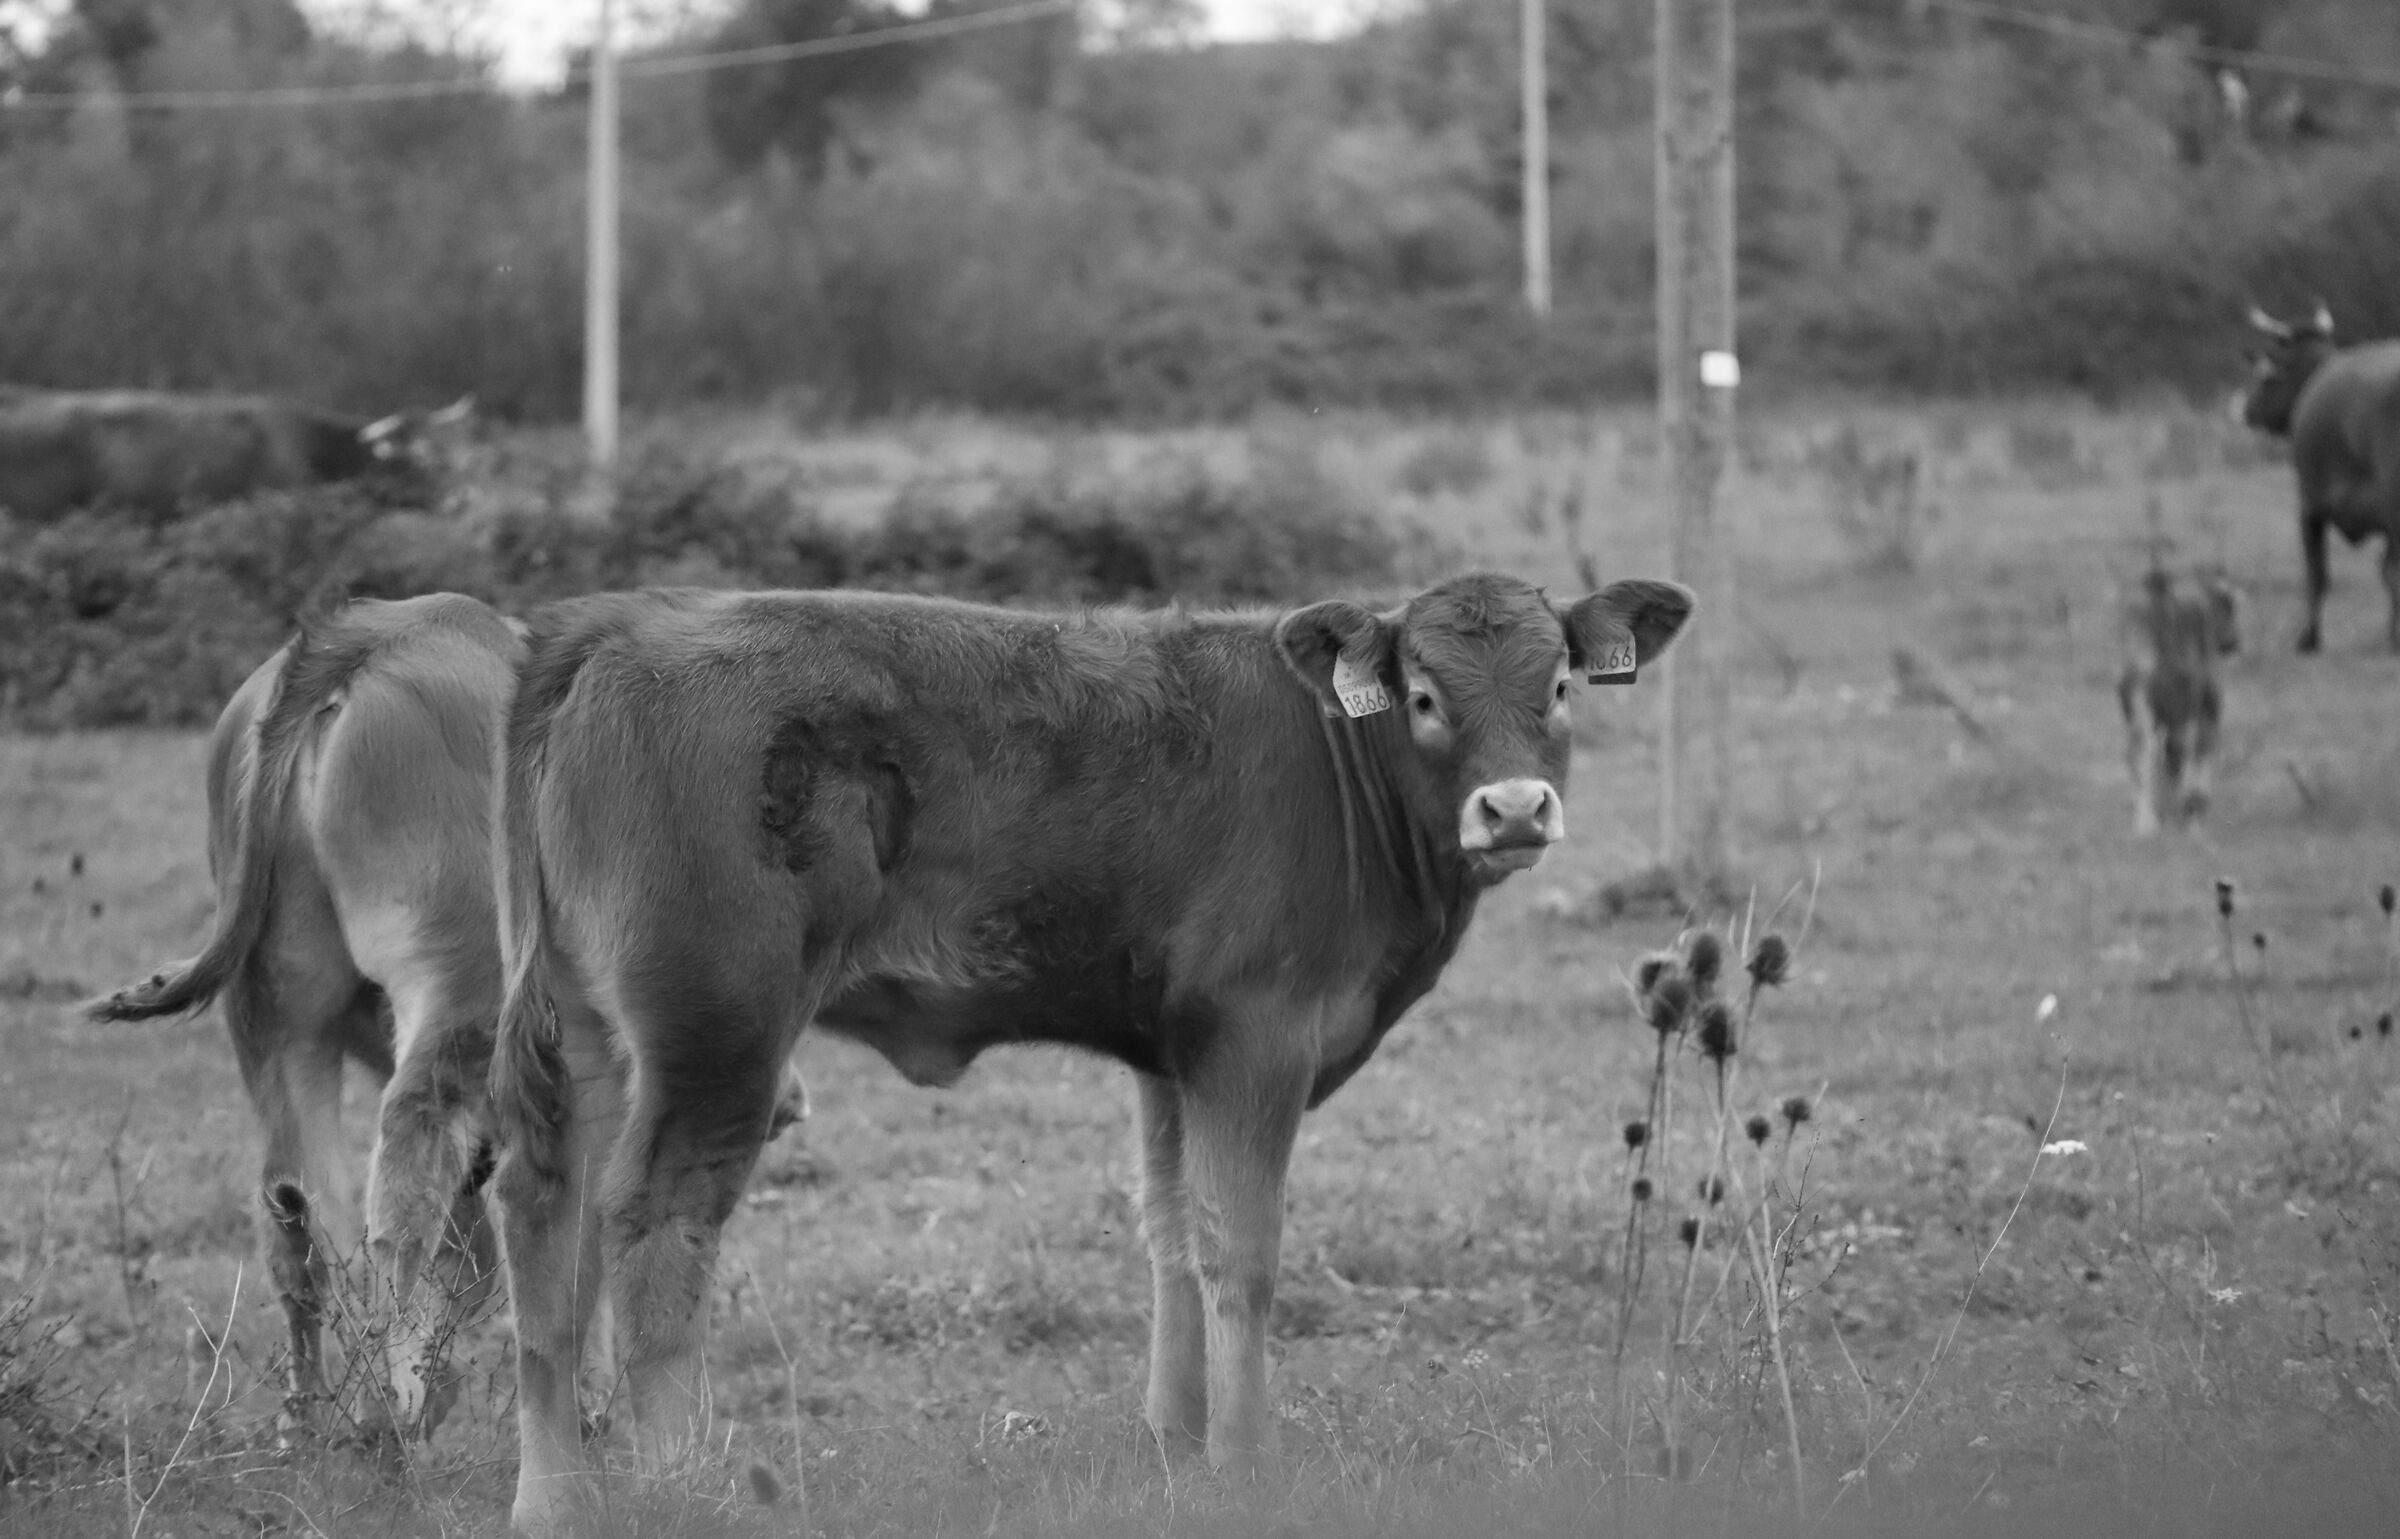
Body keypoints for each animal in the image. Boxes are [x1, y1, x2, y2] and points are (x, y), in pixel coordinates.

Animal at [84, 592, 809, 1443]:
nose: (790, 1098)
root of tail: (368, 633)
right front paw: (587, 1406)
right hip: (462, 991)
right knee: (401, 1178)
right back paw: (395, 1404)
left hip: (276, 1014)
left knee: (300, 1207)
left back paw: (317, 1416)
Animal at [488, 571, 1694, 1532]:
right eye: (1429, 698)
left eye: (1560, 687)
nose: (1515, 807)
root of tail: (615, 622)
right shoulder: (1257, 1035)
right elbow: (1241, 1249)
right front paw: (1247, 1461)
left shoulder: (1173, 1052)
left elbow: (1172, 1233)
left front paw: (1177, 1439)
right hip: (718, 1029)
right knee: (656, 1220)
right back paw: (679, 1485)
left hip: (590, 1034)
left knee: (548, 1212)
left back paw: (552, 1497)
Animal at [2118, 564, 2241, 835]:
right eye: (2229, 603)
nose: (2232, 641)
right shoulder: (2208, 704)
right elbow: (2204, 747)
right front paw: (2195, 802)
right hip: (2178, 710)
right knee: (2175, 750)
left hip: (2140, 706)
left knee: (2139, 750)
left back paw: (2146, 820)